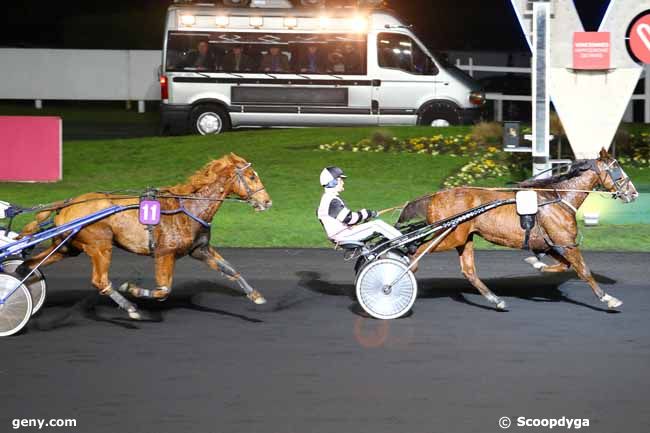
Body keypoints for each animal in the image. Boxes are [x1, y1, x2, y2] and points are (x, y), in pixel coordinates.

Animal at [17, 151, 270, 318]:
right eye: (251, 176)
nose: (267, 202)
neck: (189, 207)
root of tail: (68, 203)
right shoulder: (165, 254)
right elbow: (163, 290)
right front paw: (132, 289)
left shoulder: (200, 250)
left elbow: (231, 270)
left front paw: (255, 294)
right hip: (100, 245)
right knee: (100, 280)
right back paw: (130, 308)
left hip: (67, 247)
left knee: (27, 265)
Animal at [398, 148, 636, 310]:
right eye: (617, 169)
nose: (633, 193)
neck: (558, 198)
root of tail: (435, 196)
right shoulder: (565, 243)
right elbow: (583, 270)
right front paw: (608, 298)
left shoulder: (551, 244)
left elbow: (563, 265)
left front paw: (536, 263)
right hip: (450, 236)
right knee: (417, 252)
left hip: (463, 238)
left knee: (469, 271)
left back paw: (496, 300)